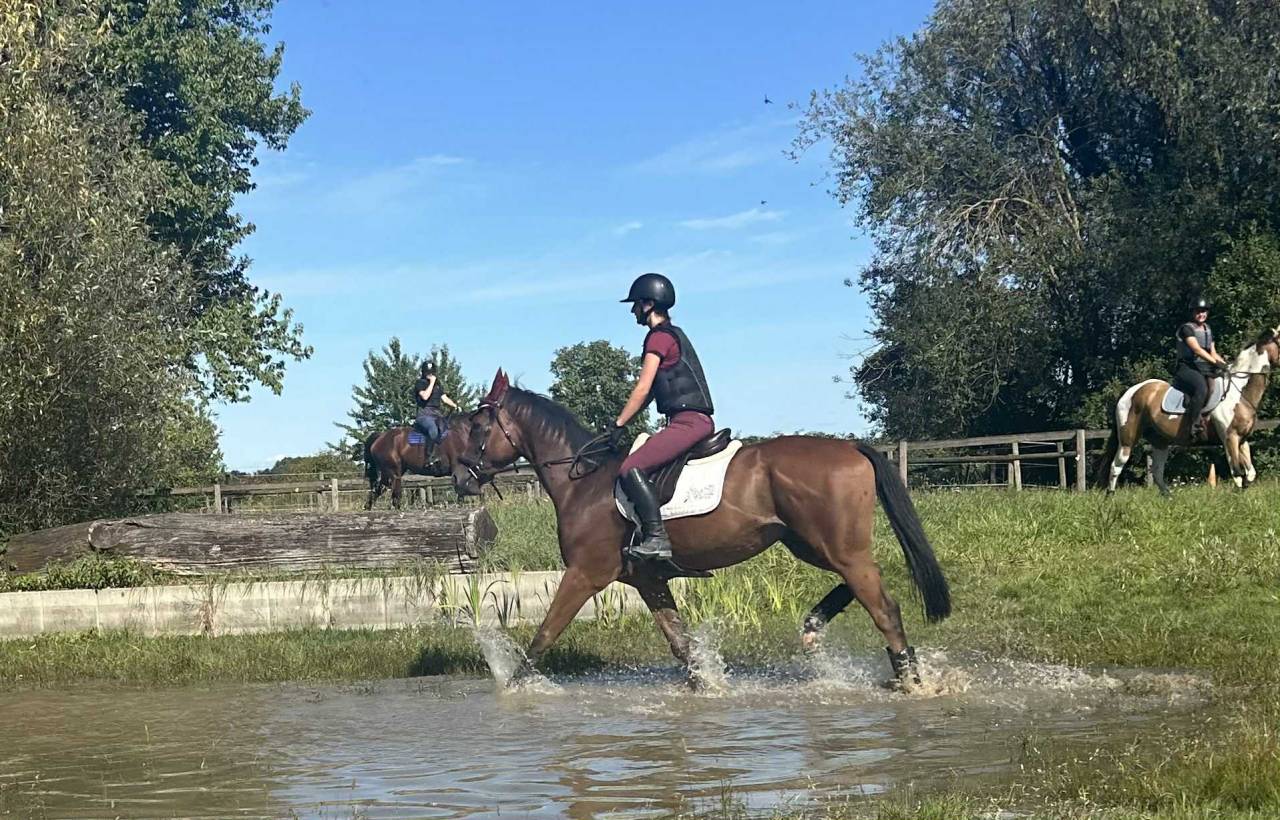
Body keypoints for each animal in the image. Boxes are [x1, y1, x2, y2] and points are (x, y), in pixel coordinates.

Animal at [451, 369, 951, 688]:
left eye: (477, 426)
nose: (459, 478)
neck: (585, 480)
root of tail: (851, 449)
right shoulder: (648, 579)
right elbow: (681, 646)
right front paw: (707, 690)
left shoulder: (585, 574)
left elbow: (544, 635)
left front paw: (512, 688)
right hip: (812, 543)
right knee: (860, 582)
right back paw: (814, 625)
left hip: (834, 545)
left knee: (884, 607)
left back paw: (912, 683)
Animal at [1097, 328, 1279, 496]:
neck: (1239, 392)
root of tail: (1129, 392)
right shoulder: (1230, 438)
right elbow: (1237, 473)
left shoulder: (1242, 440)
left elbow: (1250, 473)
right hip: (1127, 439)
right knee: (1116, 465)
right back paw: (1110, 496)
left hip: (1160, 441)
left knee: (1157, 471)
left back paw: (1169, 497)